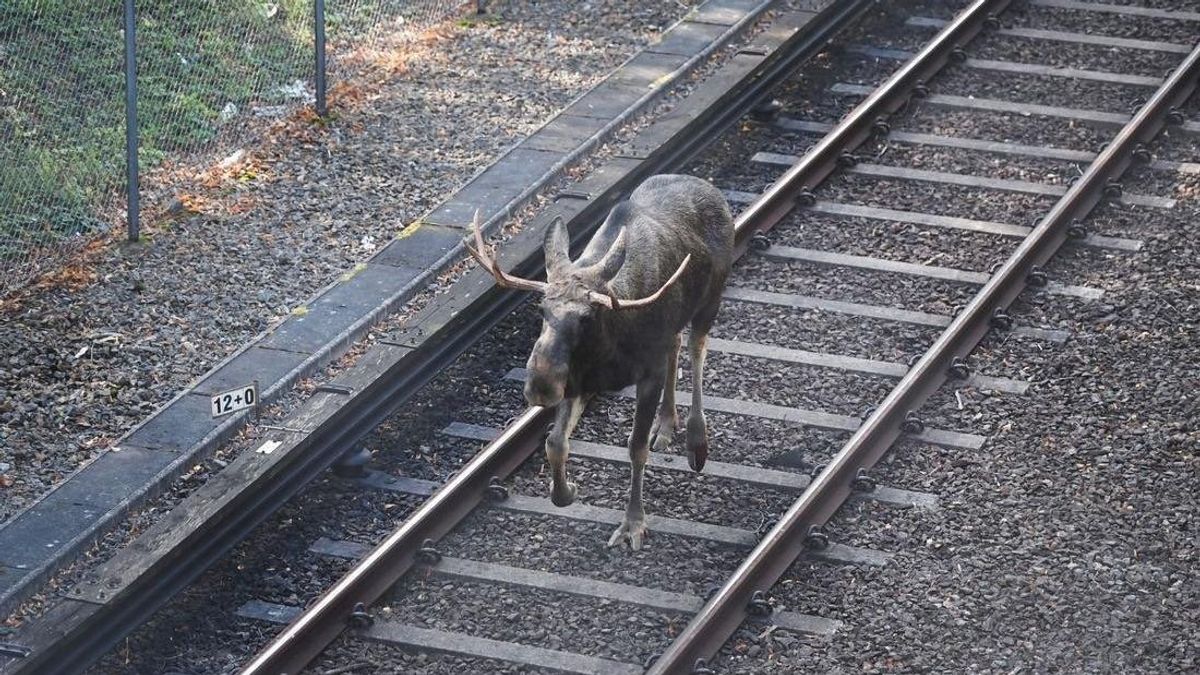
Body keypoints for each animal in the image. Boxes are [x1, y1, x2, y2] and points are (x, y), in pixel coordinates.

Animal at [465, 172, 729, 547]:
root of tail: (708, 188)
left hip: (711, 300)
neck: (608, 348)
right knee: (677, 343)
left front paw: (633, 523)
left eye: (587, 317)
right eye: (541, 309)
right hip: (674, 325)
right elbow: (555, 443)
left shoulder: (647, 373)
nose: (541, 384)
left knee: (697, 347)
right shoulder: (577, 382)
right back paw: (666, 423)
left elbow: (635, 448)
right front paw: (565, 492)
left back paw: (696, 440)